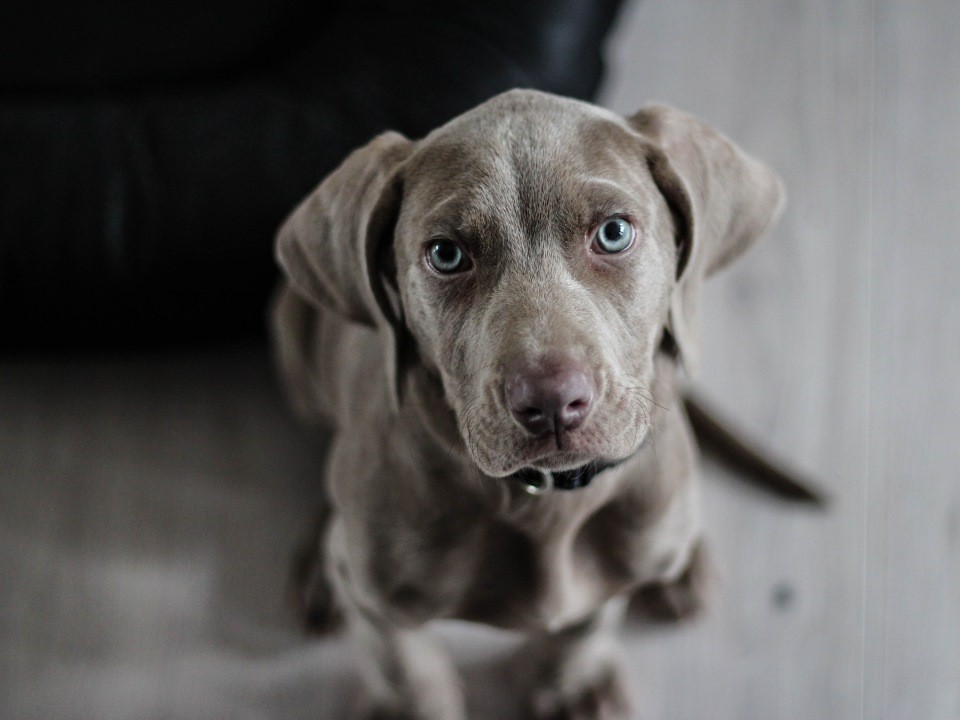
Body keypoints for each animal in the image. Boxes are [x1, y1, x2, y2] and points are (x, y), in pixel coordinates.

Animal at [270, 87, 788, 716]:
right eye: (446, 254)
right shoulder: (378, 603)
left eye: (614, 233)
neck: (545, 500)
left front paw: (573, 683)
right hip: (292, 338)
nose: (553, 402)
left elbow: (588, 622)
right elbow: (407, 670)